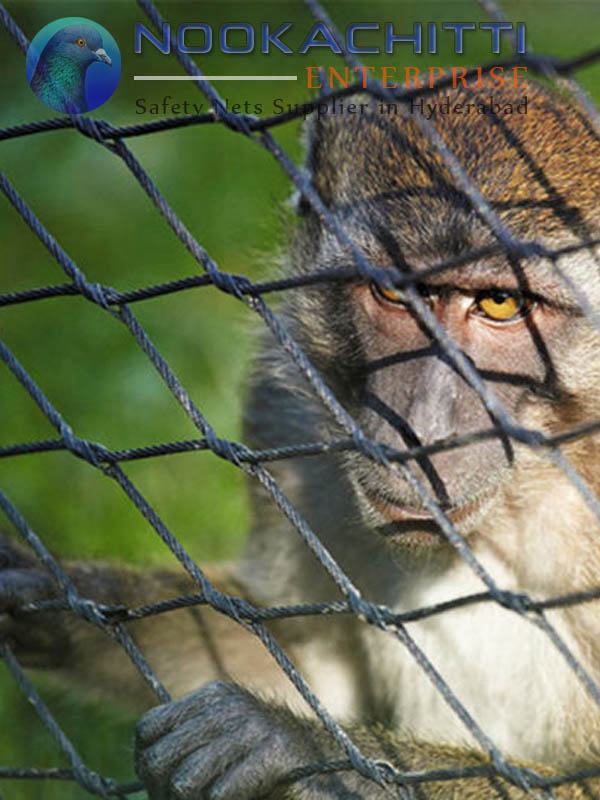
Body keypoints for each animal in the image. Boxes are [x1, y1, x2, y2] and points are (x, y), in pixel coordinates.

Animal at [1, 79, 600, 792]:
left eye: (501, 305)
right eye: (391, 295)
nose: (419, 429)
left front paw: (290, 743)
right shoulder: (282, 405)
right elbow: (312, 662)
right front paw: (61, 600)